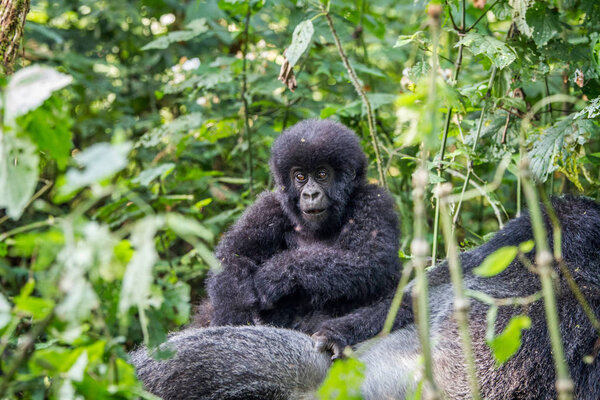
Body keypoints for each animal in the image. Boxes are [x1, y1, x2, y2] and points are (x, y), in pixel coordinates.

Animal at [197, 119, 400, 354]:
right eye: (300, 177)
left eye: (322, 174)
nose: (310, 194)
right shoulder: (270, 206)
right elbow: (234, 255)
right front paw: (231, 317)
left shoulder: (374, 201)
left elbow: (370, 259)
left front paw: (274, 274)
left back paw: (336, 334)